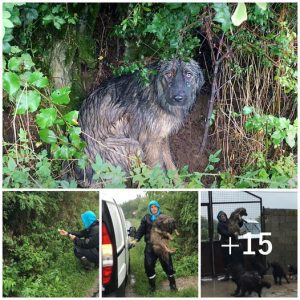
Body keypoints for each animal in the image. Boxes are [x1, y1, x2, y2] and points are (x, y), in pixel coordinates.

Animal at [76, 59, 205, 186]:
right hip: (131, 145)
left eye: (188, 74)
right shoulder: (151, 141)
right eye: (168, 74)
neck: (157, 94)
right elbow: (158, 170)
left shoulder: (162, 137)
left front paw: (178, 184)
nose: (178, 98)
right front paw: (162, 186)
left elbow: (170, 163)